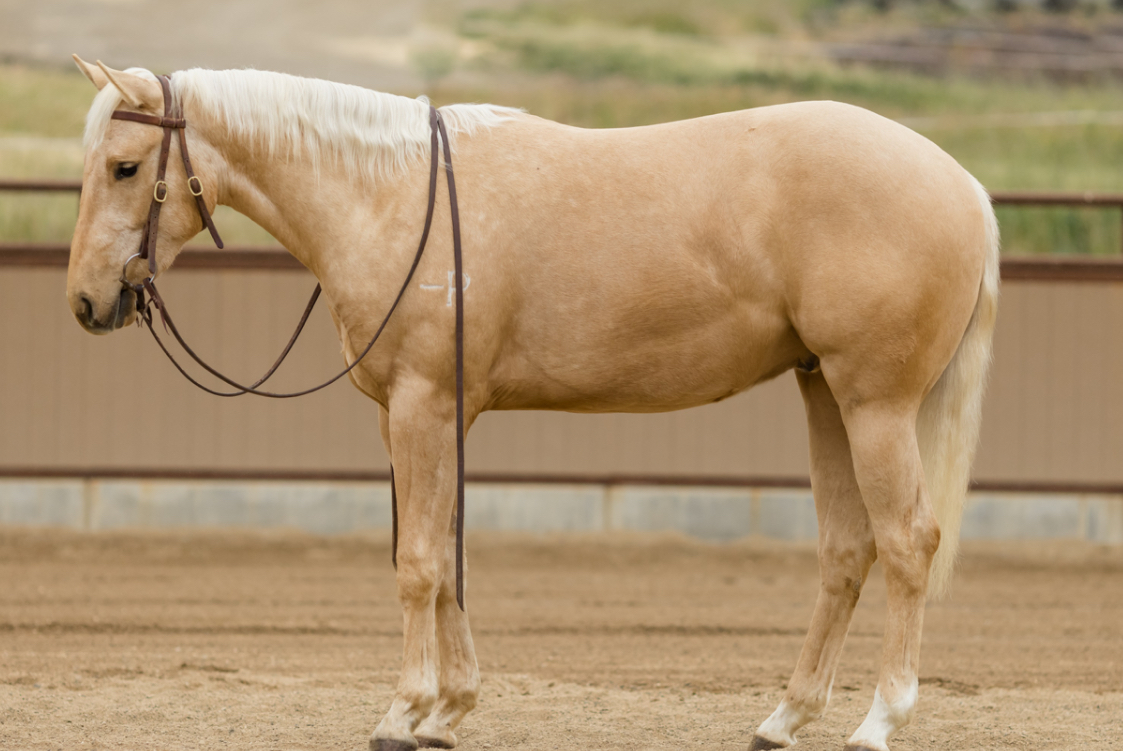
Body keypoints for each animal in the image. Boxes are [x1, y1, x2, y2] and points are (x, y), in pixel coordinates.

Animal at [67, 57, 1001, 749]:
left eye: (124, 167)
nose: (85, 301)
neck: (391, 196)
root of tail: (963, 184)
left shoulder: (422, 405)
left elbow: (418, 564)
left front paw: (403, 711)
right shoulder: (423, 414)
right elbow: (445, 560)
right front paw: (449, 709)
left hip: (874, 404)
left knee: (907, 543)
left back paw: (878, 719)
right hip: (823, 393)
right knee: (845, 551)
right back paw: (784, 717)